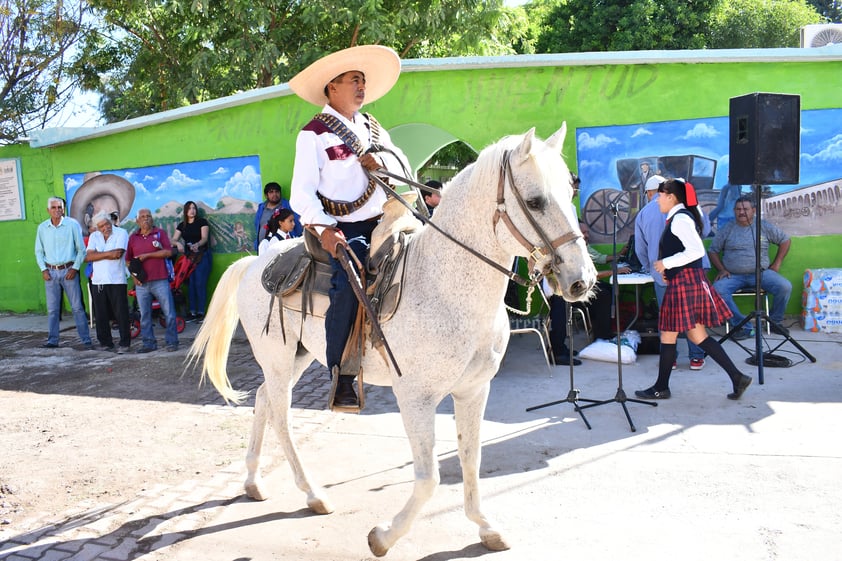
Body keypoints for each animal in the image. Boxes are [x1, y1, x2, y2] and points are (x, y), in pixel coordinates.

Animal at [189, 123, 596, 556]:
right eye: (535, 201)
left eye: (570, 192)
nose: (581, 280)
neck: (443, 284)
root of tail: (255, 262)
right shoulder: (416, 397)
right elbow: (429, 477)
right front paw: (384, 536)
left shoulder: (473, 389)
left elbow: (470, 459)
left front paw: (485, 526)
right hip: (278, 359)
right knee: (281, 415)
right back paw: (313, 493)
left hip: (298, 357)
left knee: (264, 399)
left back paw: (253, 481)